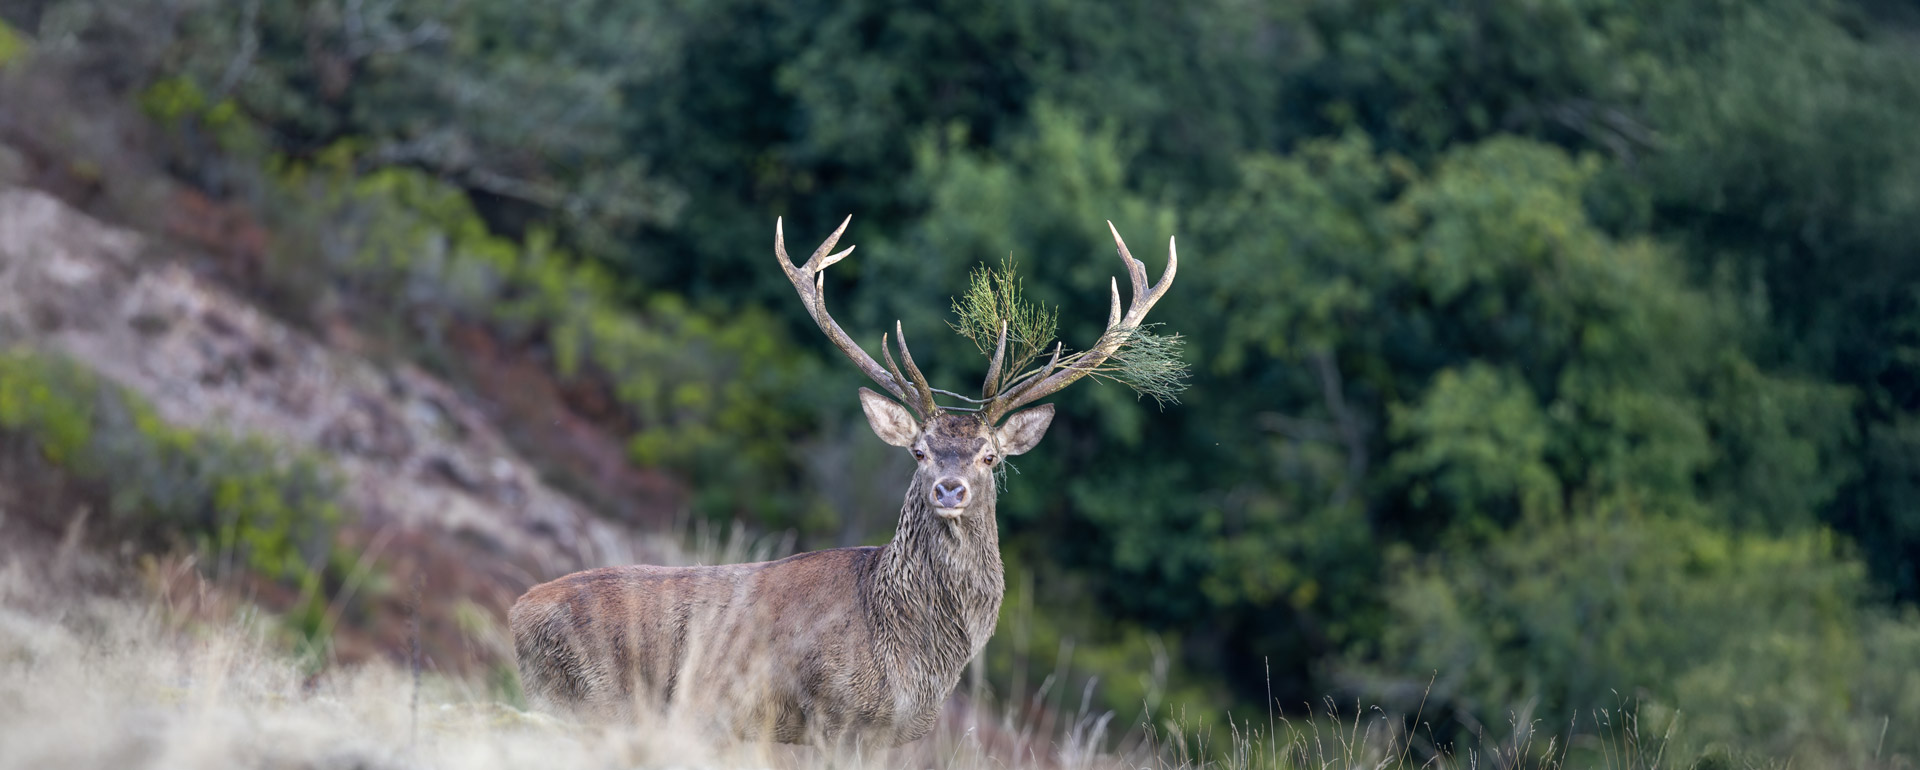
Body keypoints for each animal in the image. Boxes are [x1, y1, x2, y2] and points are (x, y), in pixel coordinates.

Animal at [509, 216, 1179, 748]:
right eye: (918, 451)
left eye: (989, 456)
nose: (950, 489)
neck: (915, 655)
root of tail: (516, 612)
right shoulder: (831, 713)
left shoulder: (894, 735)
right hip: (586, 699)